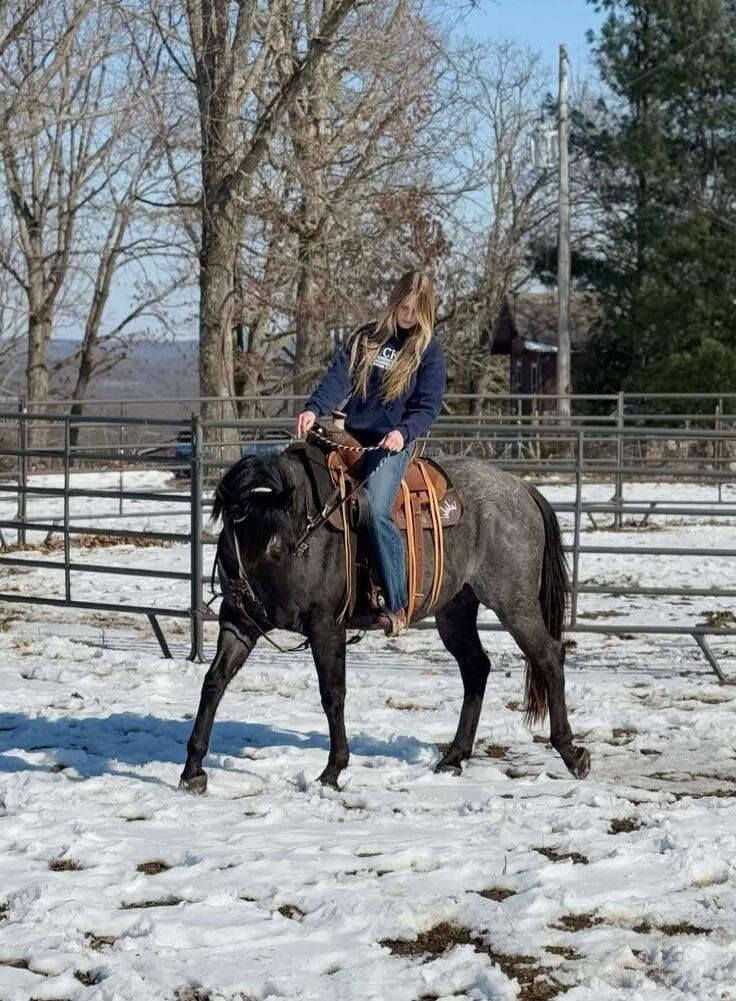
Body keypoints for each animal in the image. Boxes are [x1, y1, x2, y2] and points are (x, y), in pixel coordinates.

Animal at [178, 442, 590, 794]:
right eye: (235, 534)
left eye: (282, 541)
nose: (257, 601)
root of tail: (522, 489)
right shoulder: (238, 624)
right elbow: (214, 683)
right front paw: (192, 770)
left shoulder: (326, 626)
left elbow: (333, 694)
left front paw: (332, 771)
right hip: (455, 609)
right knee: (476, 667)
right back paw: (454, 758)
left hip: (514, 602)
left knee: (548, 657)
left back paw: (572, 753)